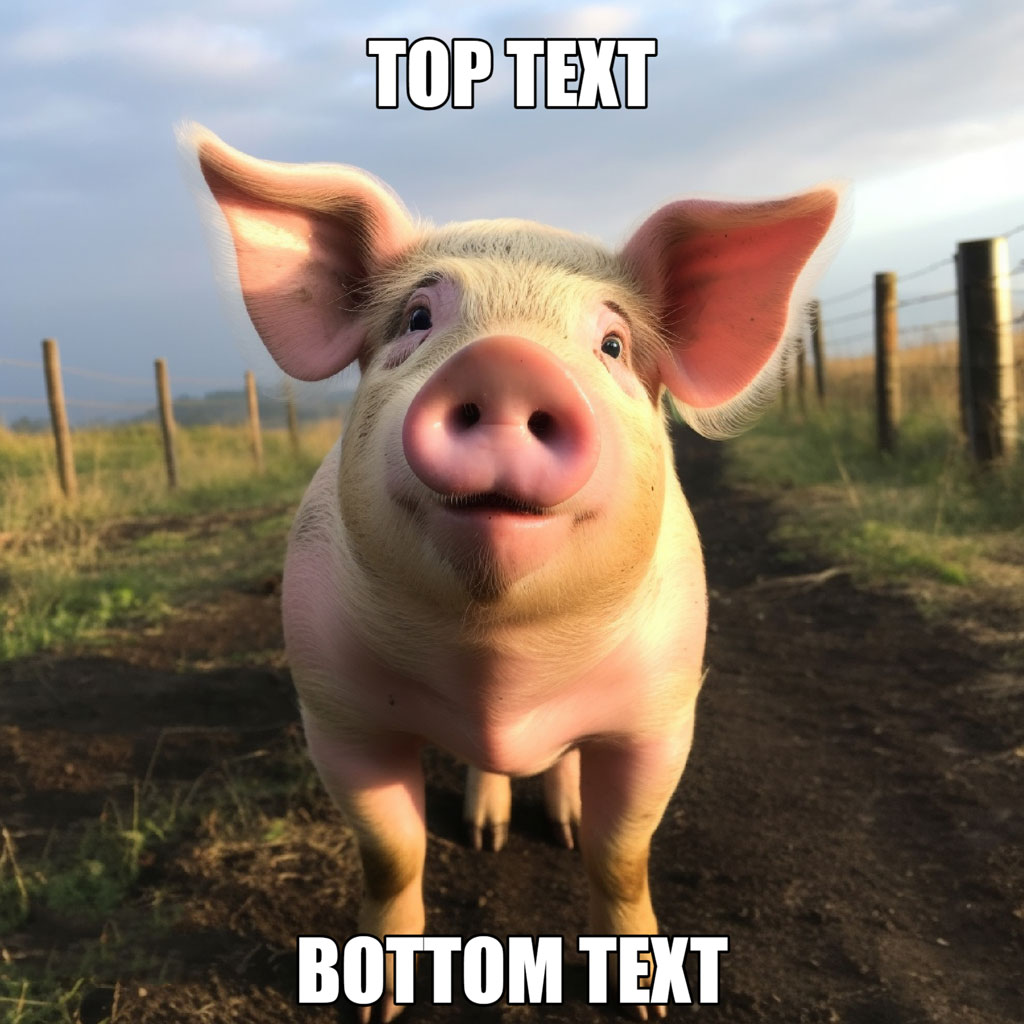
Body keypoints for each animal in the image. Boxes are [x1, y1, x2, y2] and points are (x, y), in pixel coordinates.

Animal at [184, 123, 841, 1020]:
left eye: (612, 344)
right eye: (418, 317)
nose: (505, 363)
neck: (500, 669)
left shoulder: (664, 713)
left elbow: (620, 854)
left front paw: (647, 1002)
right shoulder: (336, 709)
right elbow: (391, 850)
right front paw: (372, 1005)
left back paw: (554, 820)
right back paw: (486, 831)